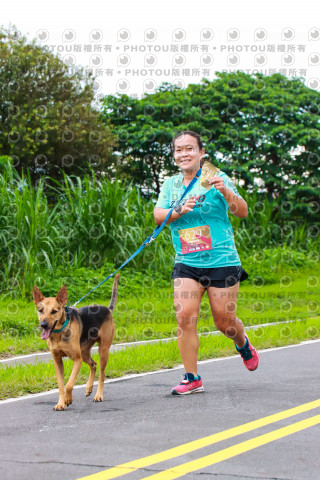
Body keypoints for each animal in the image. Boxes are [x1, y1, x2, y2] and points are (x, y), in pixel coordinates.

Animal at [32, 274, 120, 408]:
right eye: (40, 310)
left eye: (54, 311)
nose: (43, 325)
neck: (59, 333)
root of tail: (108, 310)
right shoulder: (57, 361)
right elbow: (61, 385)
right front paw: (60, 403)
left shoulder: (77, 360)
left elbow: (69, 384)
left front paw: (68, 399)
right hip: (84, 352)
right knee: (93, 364)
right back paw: (89, 388)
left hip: (103, 351)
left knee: (102, 374)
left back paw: (98, 395)